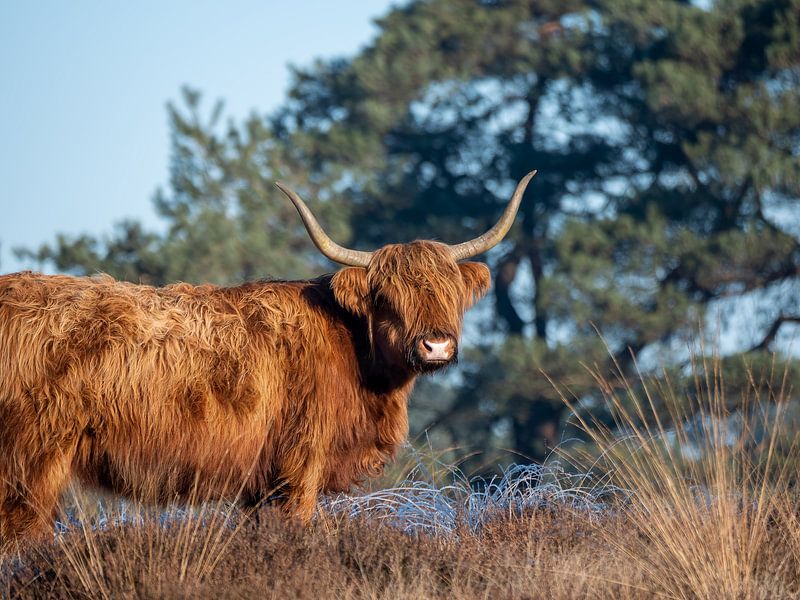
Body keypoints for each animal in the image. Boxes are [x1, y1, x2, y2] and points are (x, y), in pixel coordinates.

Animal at [0, 170, 536, 548]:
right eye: (387, 297)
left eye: (449, 293)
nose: (436, 345)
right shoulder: (299, 465)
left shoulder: (260, 482)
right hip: (31, 462)